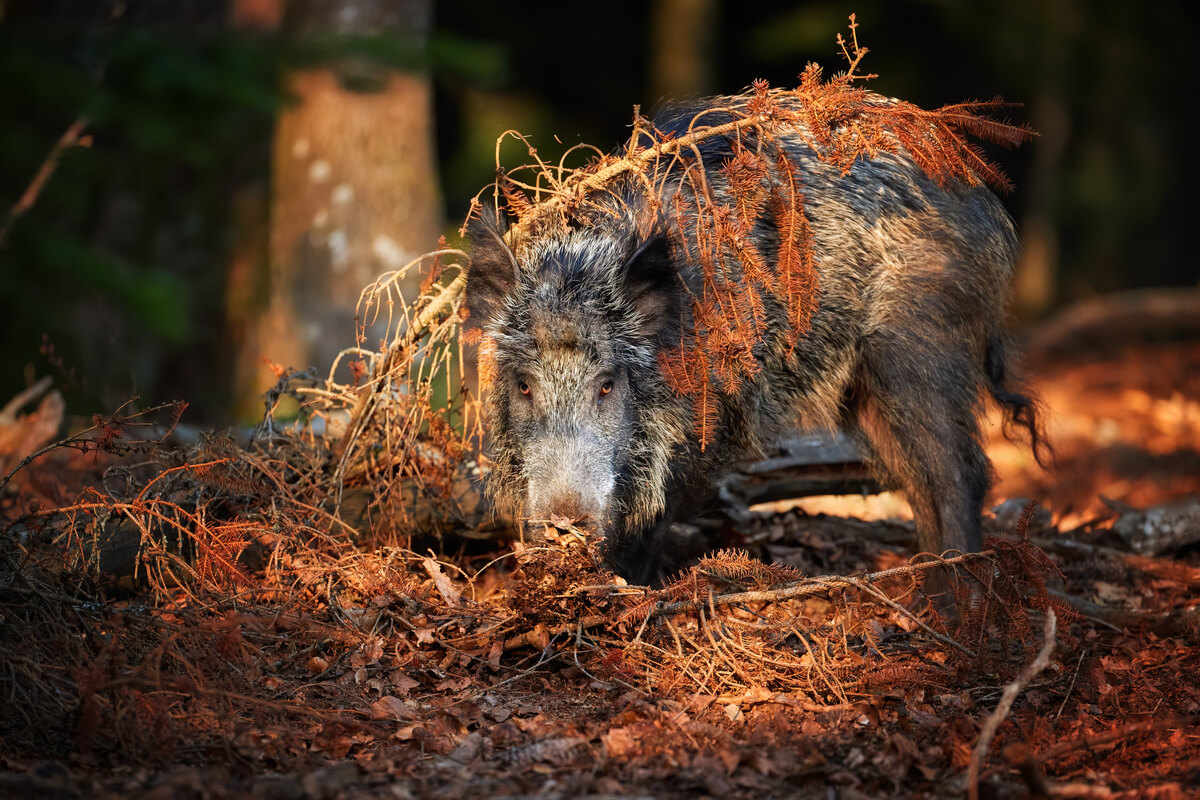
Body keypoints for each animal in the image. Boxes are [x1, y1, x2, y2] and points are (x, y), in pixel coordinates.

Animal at [464, 95, 1046, 585]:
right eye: (523, 385)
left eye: (607, 384)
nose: (563, 526)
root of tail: (982, 195)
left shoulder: (713, 426)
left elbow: (655, 515)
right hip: (868, 391)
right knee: (918, 482)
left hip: (919, 345)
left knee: (960, 476)